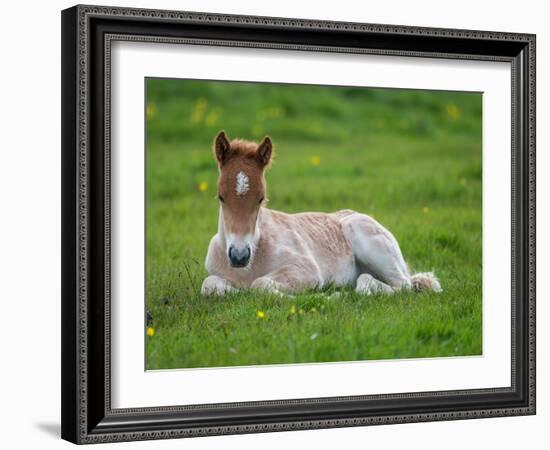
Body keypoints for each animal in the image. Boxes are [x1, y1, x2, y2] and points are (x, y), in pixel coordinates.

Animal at [201, 131, 442, 296]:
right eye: (221, 196)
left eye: (261, 198)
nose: (239, 256)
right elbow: (209, 286)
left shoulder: (306, 270)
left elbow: (259, 284)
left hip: (370, 242)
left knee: (402, 285)